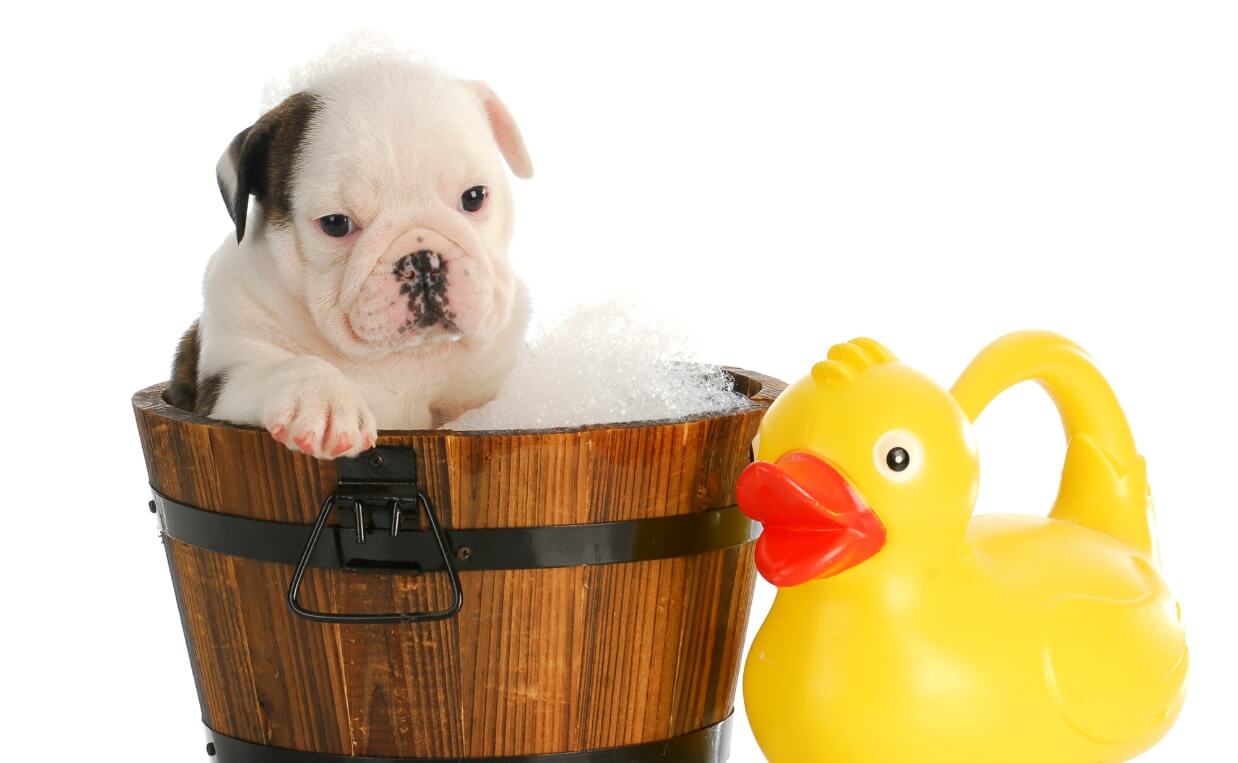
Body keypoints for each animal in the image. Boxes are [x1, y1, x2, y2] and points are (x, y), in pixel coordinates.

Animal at [165, 58, 532, 458]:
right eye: (336, 223)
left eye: (474, 197)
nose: (423, 261)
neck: (402, 357)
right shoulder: (225, 378)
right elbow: (287, 366)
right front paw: (320, 400)